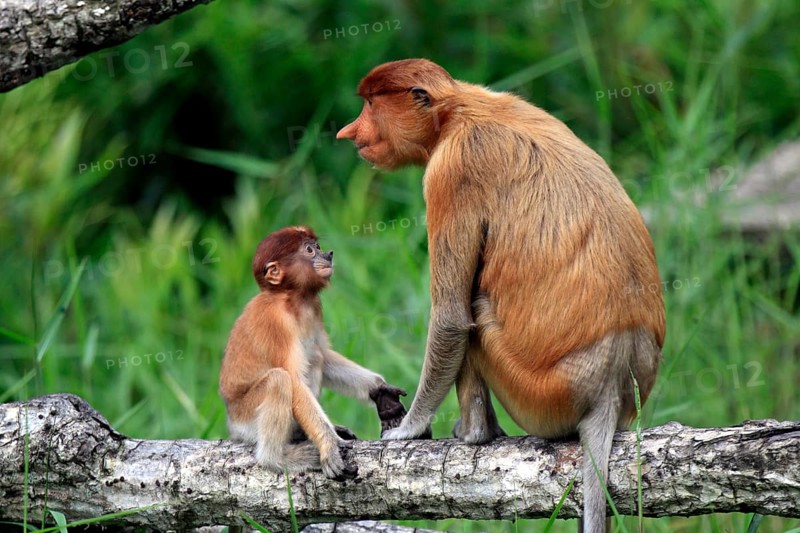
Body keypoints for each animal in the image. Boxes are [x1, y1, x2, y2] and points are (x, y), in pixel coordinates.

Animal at [219, 226, 407, 479]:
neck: (290, 298)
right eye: (309, 250)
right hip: (246, 418)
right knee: (279, 380)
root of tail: (232, 421)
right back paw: (276, 458)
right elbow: (294, 380)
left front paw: (381, 389)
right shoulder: (276, 322)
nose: (328, 254)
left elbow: (324, 354)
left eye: (317, 247)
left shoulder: (314, 307)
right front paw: (329, 445)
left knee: (315, 359)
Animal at [337, 59, 665, 531]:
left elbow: (451, 318)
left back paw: (476, 434)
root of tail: (611, 381)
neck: (456, 112)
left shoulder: (450, 173)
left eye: (370, 105)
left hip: (539, 394)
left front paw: (408, 430)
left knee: (474, 311)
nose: (348, 132)